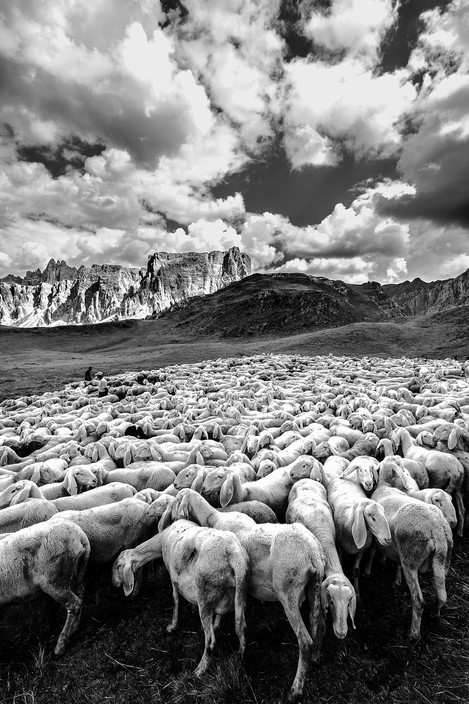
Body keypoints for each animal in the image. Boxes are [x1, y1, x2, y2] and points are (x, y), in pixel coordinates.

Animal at [0, 516, 89, 656]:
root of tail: (80, 535)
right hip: (76, 571)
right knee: (81, 591)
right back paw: (74, 628)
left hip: (54, 580)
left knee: (74, 604)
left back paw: (60, 645)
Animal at [110, 516, 249, 676]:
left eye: (118, 566)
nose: (113, 583)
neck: (161, 539)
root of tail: (233, 554)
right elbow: (220, 614)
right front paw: (214, 622)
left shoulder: (173, 577)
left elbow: (175, 599)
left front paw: (172, 626)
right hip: (240, 591)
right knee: (240, 627)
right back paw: (240, 658)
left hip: (205, 594)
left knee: (210, 642)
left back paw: (199, 670)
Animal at [172, 490, 326, 704]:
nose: (173, 519)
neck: (213, 517)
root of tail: (313, 554)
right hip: (314, 588)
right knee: (320, 623)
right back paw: (316, 658)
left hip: (289, 593)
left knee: (304, 641)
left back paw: (295, 690)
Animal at [370, 460, 454, 640]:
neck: (384, 485)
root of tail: (436, 528)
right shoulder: (398, 548)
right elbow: (396, 564)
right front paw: (396, 580)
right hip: (443, 558)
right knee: (442, 593)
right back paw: (435, 612)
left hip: (411, 561)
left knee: (418, 601)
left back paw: (413, 633)